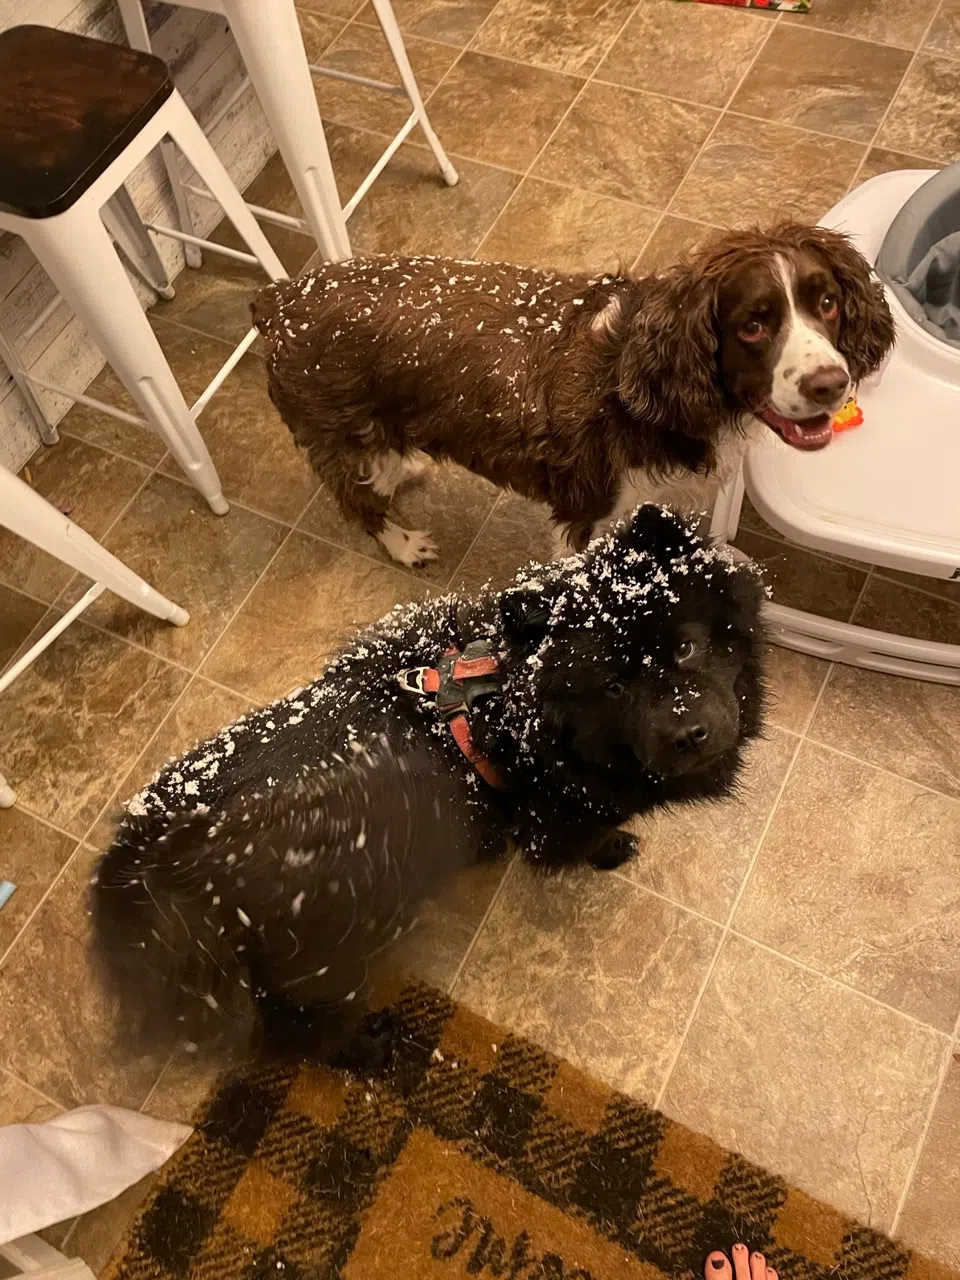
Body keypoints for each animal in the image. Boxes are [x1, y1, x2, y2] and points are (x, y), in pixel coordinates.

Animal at [91, 506, 767, 1072]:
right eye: (615, 689)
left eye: (687, 646)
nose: (690, 733)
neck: (501, 698)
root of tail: (149, 863)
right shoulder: (565, 816)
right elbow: (587, 839)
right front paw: (615, 850)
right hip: (327, 964)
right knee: (303, 1038)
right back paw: (372, 1052)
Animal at [251, 224, 894, 567]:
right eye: (753, 325)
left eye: (827, 302)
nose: (830, 384)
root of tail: (279, 300)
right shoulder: (584, 510)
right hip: (343, 431)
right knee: (357, 499)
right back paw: (404, 543)